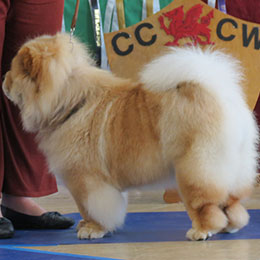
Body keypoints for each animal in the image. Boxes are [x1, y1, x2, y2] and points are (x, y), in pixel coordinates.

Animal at [3, 33, 258, 241]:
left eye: (13, 73)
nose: (4, 80)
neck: (71, 103)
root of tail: (219, 93)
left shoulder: (86, 179)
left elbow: (91, 207)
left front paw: (92, 229)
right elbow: (87, 208)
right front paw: (84, 225)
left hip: (195, 167)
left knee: (205, 203)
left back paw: (201, 231)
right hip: (232, 167)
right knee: (232, 203)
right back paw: (231, 227)